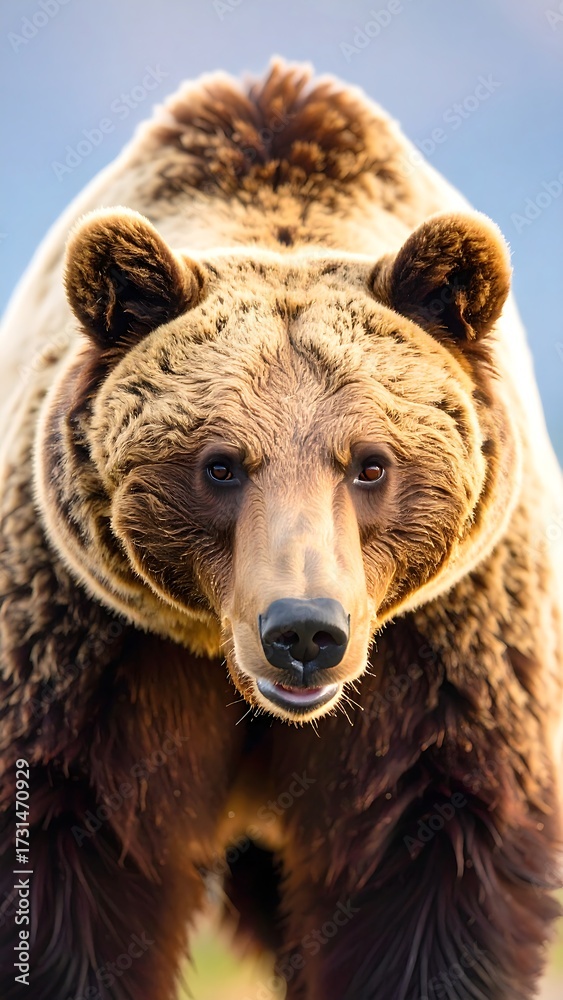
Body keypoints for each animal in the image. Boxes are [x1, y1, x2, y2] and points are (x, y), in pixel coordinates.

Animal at [0, 58, 562, 1000]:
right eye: (220, 465)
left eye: (369, 464)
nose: (303, 632)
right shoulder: (89, 659)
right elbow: (73, 875)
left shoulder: (441, 668)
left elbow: (423, 885)